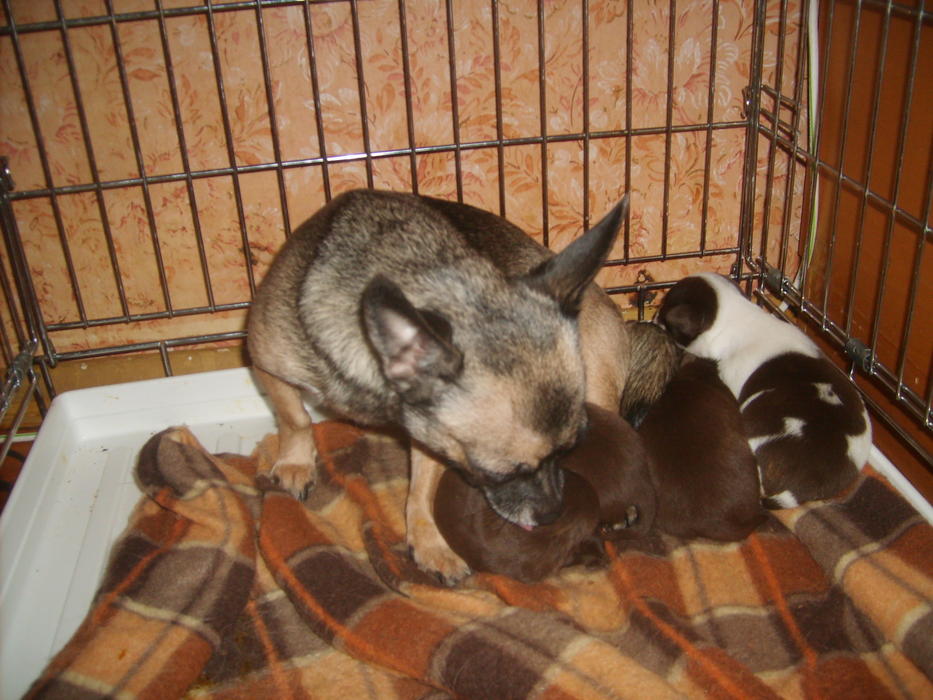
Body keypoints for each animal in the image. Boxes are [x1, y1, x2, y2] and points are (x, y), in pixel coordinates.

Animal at [247, 189, 631, 583]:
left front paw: (430, 544)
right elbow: (294, 418)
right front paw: (295, 462)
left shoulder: (432, 435)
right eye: (497, 473)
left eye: (572, 449)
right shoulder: (264, 363)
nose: (553, 513)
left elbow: (421, 490)